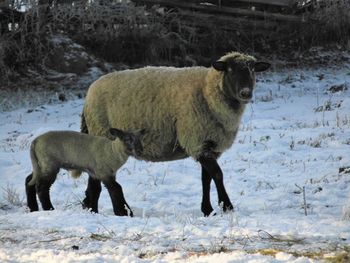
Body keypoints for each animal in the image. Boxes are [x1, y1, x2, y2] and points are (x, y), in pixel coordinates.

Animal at [78, 52, 270, 219]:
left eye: (253, 70)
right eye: (229, 70)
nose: (246, 93)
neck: (207, 92)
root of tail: (88, 96)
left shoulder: (207, 144)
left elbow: (206, 179)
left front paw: (208, 210)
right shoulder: (196, 139)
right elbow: (217, 175)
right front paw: (227, 206)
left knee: (95, 177)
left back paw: (92, 208)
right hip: (102, 132)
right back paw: (122, 210)